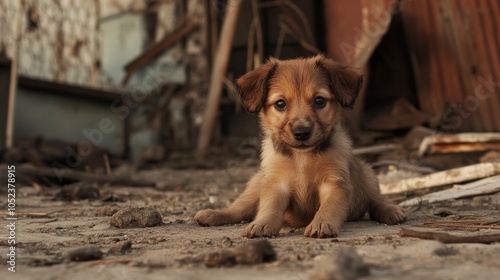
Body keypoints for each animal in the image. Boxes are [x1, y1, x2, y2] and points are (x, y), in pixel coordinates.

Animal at [193, 55, 404, 238]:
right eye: (280, 104)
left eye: (319, 101)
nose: (302, 133)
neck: (302, 157)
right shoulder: (275, 184)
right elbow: (269, 207)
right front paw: (262, 224)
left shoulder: (334, 184)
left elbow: (329, 207)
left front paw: (321, 223)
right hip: (256, 184)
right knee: (239, 208)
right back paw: (214, 214)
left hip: (368, 175)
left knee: (376, 200)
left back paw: (391, 211)